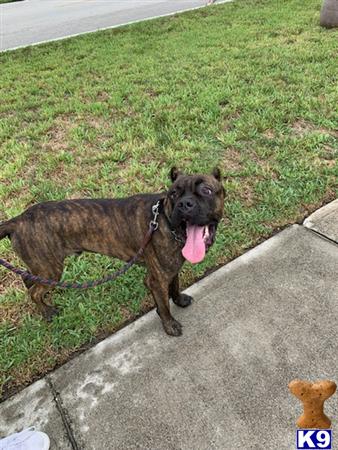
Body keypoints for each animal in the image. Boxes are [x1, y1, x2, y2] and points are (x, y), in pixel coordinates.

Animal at [1, 168, 227, 334]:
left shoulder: (171, 270)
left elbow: (175, 287)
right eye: (173, 193)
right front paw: (169, 324)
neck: (165, 221)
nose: (184, 204)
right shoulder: (156, 280)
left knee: (28, 279)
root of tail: (18, 220)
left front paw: (179, 300)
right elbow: (163, 305)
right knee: (34, 291)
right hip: (50, 270)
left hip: (41, 266)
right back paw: (47, 312)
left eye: (206, 190)